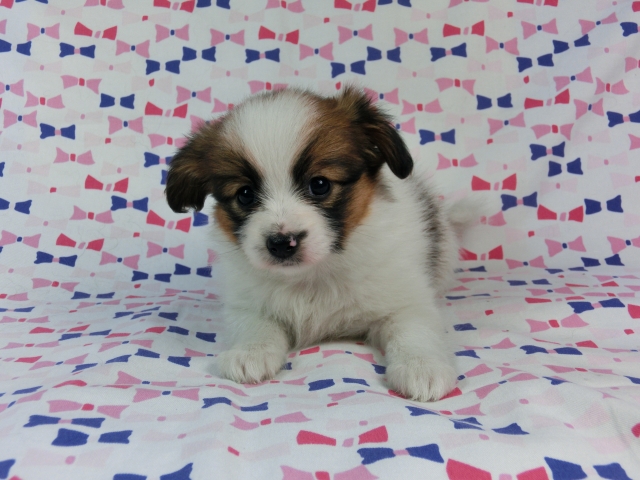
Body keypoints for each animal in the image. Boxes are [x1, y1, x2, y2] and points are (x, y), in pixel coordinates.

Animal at [165, 86, 467, 402]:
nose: (281, 243)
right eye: (245, 195)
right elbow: (256, 325)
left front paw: (422, 367)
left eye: (320, 184)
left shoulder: (406, 301)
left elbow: (415, 331)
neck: (313, 273)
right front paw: (250, 352)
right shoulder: (245, 303)